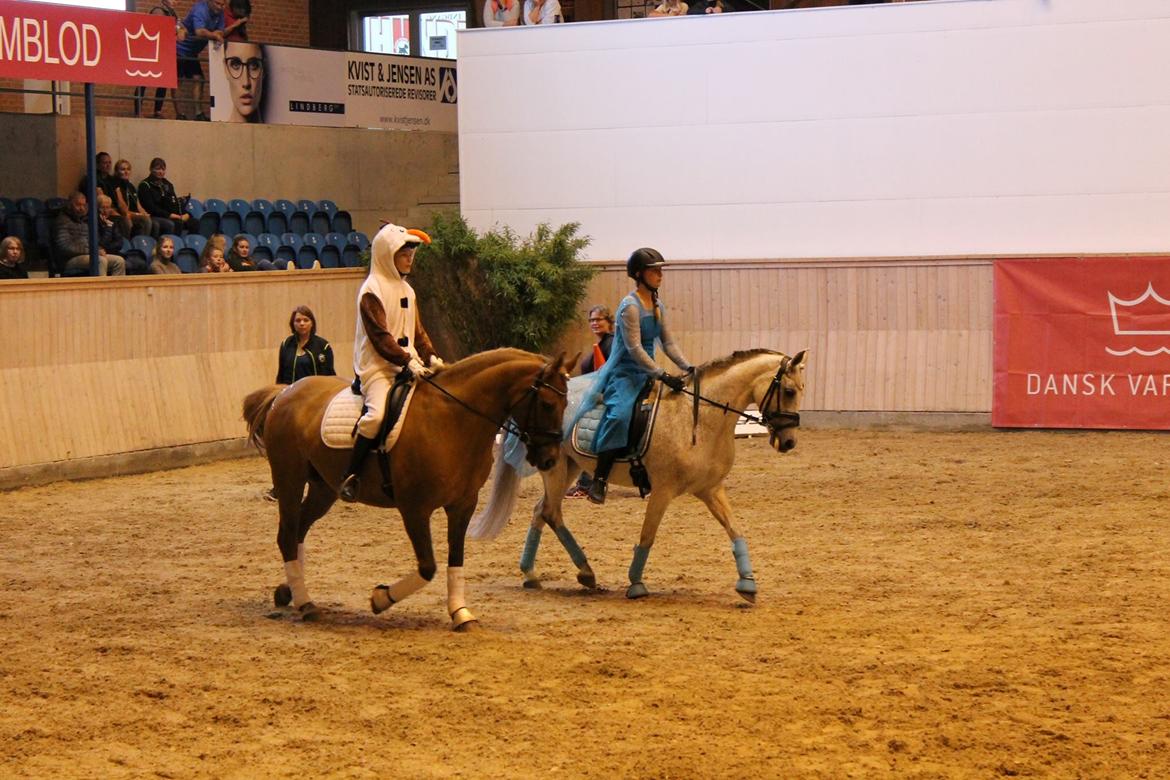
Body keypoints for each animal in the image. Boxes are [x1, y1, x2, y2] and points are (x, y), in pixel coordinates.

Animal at [244, 350, 573, 631]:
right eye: (547, 404)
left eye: (566, 405)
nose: (549, 460)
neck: (454, 420)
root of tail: (286, 391)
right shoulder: (415, 509)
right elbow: (428, 567)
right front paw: (380, 598)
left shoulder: (463, 505)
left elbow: (456, 559)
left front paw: (461, 613)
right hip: (289, 479)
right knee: (287, 533)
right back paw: (306, 603)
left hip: (324, 488)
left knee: (298, 530)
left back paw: (289, 591)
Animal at [465, 350, 804, 603]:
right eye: (788, 391)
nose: (788, 442)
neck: (699, 420)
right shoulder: (662, 490)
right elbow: (647, 536)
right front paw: (636, 584)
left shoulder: (711, 489)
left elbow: (735, 530)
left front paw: (747, 584)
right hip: (556, 467)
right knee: (550, 512)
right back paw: (585, 571)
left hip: (569, 467)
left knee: (541, 511)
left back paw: (531, 574)